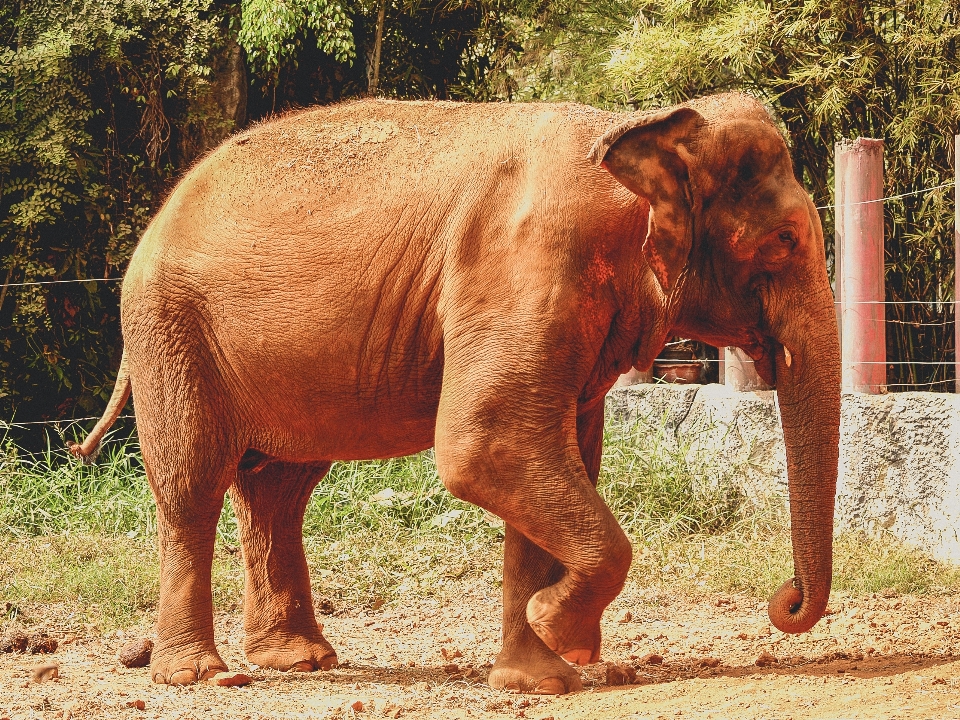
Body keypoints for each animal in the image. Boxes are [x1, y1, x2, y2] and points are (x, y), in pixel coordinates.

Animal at [71, 93, 840, 696]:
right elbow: (487, 444)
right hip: (171, 329)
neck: (632, 127)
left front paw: (542, 674)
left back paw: (300, 660)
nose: (785, 599)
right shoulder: (520, 269)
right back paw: (201, 675)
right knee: (193, 484)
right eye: (783, 239)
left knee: (278, 489)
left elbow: (551, 456)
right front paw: (555, 630)